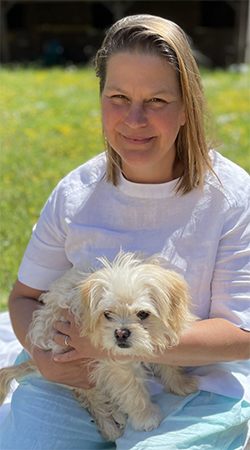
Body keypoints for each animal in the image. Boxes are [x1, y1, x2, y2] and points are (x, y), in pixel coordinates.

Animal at [0, 251, 197, 442]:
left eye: (142, 314)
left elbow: (169, 363)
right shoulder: (111, 361)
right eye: (107, 314)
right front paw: (145, 418)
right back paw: (111, 425)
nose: (121, 333)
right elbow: (132, 389)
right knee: (92, 398)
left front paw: (181, 384)